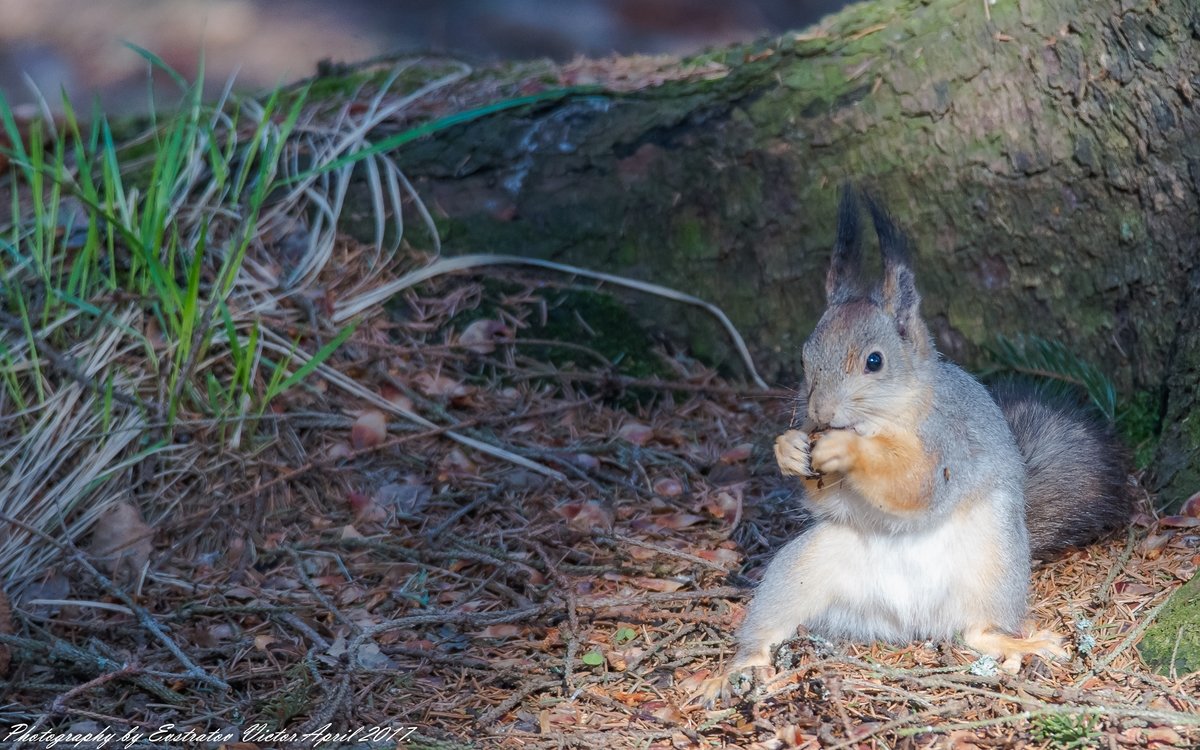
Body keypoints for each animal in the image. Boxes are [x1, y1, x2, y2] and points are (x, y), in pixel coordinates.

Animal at [700, 187, 1128, 700]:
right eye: (804, 358)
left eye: (875, 361)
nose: (820, 414)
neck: (885, 422)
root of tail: (907, 621)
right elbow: (827, 496)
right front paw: (788, 447)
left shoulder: (949, 441)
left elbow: (914, 484)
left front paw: (847, 452)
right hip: (801, 571)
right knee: (769, 628)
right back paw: (734, 670)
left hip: (994, 566)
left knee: (978, 631)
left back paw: (1018, 645)